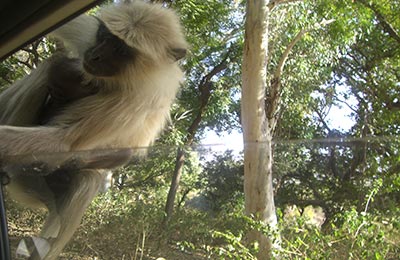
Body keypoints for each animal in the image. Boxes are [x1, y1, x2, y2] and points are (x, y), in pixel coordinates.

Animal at [0, 1, 188, 258]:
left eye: (120, 49)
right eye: (105, 37)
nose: (95, 54)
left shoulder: (136, 101)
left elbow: (65, 143)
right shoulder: (88, 38)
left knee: (86, 181)